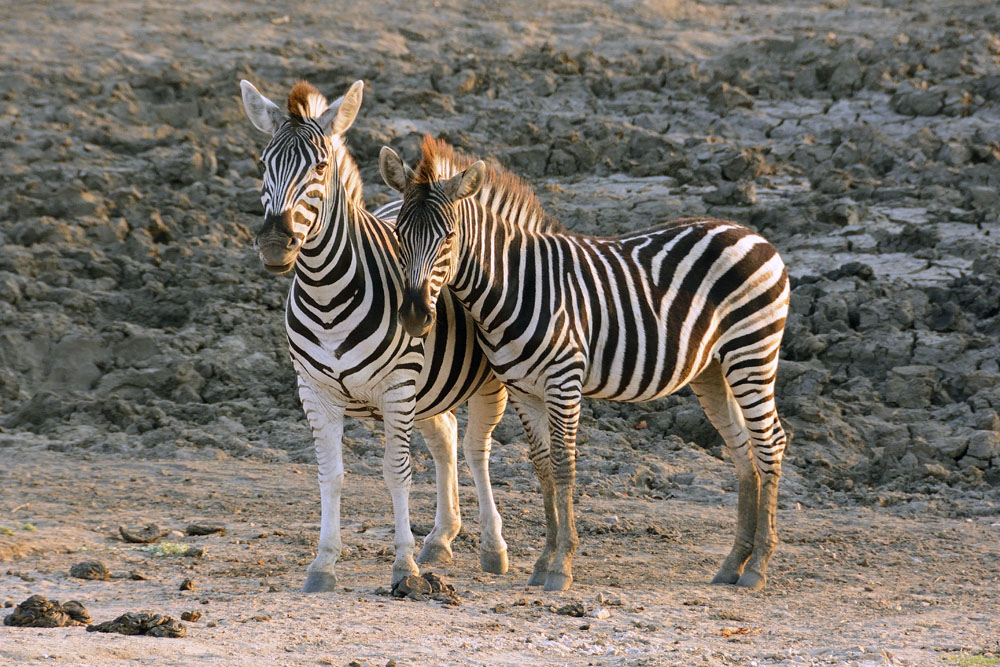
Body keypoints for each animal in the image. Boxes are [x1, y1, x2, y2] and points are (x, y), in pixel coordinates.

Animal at [239, 81, 510, 591]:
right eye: (263, 163)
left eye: (320, 167)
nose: (275, 246)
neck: (327, 294)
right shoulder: (315, 391)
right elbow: (331, 474)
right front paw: (323, 563)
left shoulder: (397, 388)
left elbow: (395, 473)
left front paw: (403, 566)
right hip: (430, 391)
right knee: (446, 440)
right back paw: (441, 538)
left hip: (488, 382)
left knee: (476, 449)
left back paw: (491, 546)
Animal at [379, 136, 790, 592]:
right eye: (398, 235)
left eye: (449, 236)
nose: (415, 316)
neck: (515, 285)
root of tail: (752, 234)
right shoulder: (523, 390)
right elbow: (542, 467)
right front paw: (543, 561)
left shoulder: (564, 381)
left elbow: (563, 466)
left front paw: (562, 565)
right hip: (713, 370)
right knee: (741, 449)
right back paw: (733, 563)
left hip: (751, 352)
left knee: (770, 442)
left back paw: (757, 567)